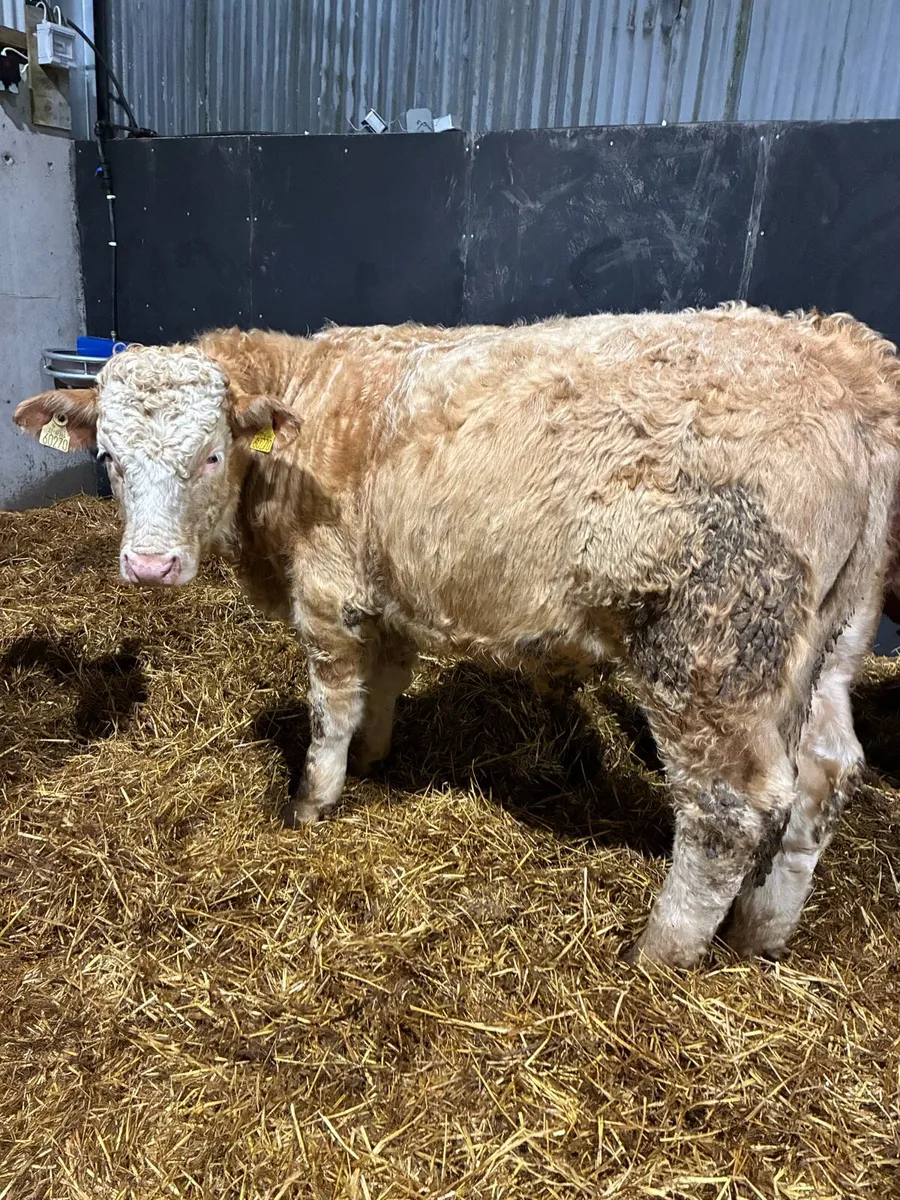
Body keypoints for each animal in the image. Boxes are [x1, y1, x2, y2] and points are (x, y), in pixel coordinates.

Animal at [14, 304, 900, 968]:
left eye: (208, 454)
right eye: (109, 456)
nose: (150, 565)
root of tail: (837, 357)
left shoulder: (327, 592)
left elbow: (331, 708)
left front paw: (312, 802)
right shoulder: (389, 592)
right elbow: (385, 683)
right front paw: (375, 759)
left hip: (714, 649)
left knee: (729, 809)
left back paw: (658, 956)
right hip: (832, 640)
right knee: (825, 772)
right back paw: (760, 936)